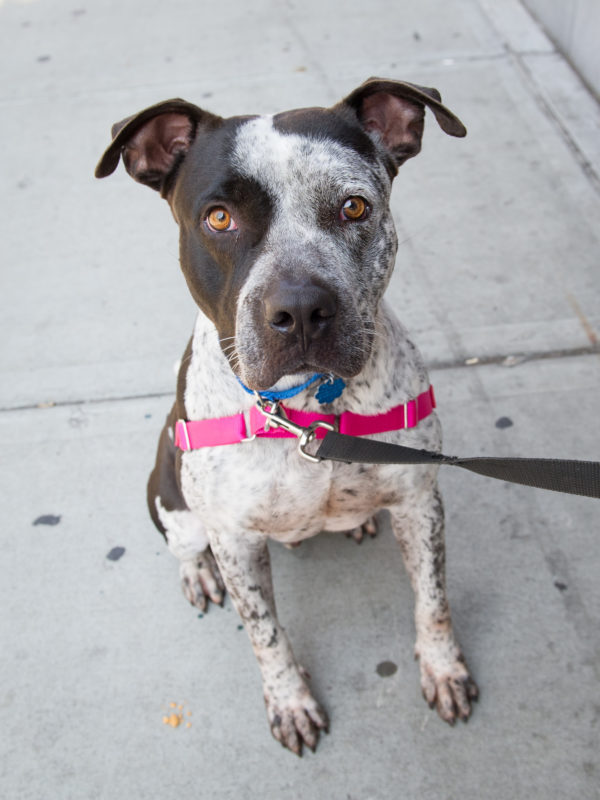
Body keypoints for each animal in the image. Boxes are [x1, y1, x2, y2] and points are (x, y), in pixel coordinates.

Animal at [95, 77, 478, 755]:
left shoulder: (419, 502)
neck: (309, 407)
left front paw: (443, 668)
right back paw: (198, 575)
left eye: (353, 207)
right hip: (177, 508)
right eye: (219, 218)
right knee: (185, 545)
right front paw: (291, 701)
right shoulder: (236, 540)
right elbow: (266, 636)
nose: (300, 310)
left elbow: (432, 600)